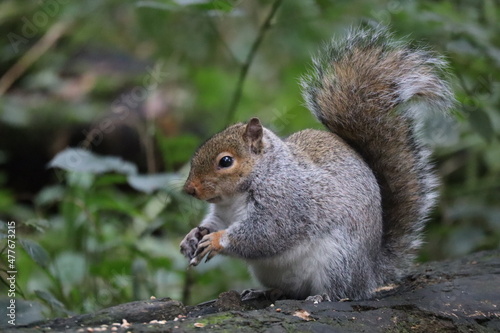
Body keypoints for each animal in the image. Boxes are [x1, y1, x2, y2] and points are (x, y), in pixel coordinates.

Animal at [179, 26, 454, 300]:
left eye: (226, 161)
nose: (189, 189)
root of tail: (370, 273)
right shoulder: (223, 213)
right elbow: (215, 223)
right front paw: (193, 236)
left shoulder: (286, 203)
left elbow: (266, 233)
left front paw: (216, 240)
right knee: (288, 290)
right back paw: (263, 292)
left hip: (338, 259)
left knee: (341, 291)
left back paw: (321, 296)